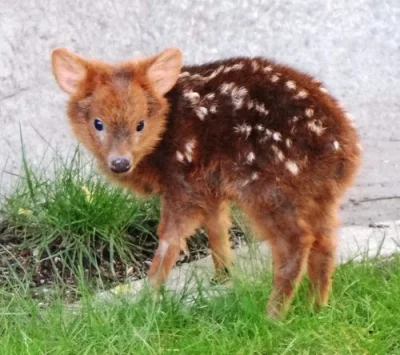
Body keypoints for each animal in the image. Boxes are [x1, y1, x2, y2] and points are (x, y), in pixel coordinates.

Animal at [51, 46, 360, 318]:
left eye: (140, 124)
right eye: (98, 123)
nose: (119, 163)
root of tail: (343, 148)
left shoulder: (183, 182)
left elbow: (171, 237)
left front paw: (149, 296)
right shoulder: (209, 184)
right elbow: (217, 226)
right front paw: (224, 276)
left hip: (267, 187)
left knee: (295, 242)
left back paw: (273, 315)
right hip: (319, 194)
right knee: (325, 242)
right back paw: (316, 308)